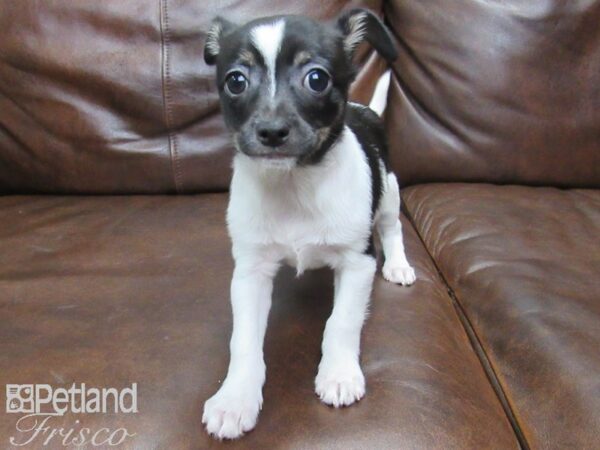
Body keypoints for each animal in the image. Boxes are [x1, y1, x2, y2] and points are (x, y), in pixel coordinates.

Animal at [200, 8, 412, 442]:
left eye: (317, 78)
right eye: (235, 81)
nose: (271, 131)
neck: (294, 185)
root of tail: (366, 109)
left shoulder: (358, 262)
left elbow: (342, 322)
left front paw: (339, 374)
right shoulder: (250, 272)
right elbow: (243, 340)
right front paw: (235, 398)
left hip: (389, 193)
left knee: (393, 228)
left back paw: (399, 264)